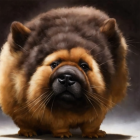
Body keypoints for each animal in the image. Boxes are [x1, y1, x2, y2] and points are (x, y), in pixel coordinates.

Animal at [0, 6, 128, 138]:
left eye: (84, 66)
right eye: (54, 64)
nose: (67, 77)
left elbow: (92, 123)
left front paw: (93, 133)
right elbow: (58, 123)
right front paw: (62, 134)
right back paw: (28, 132)